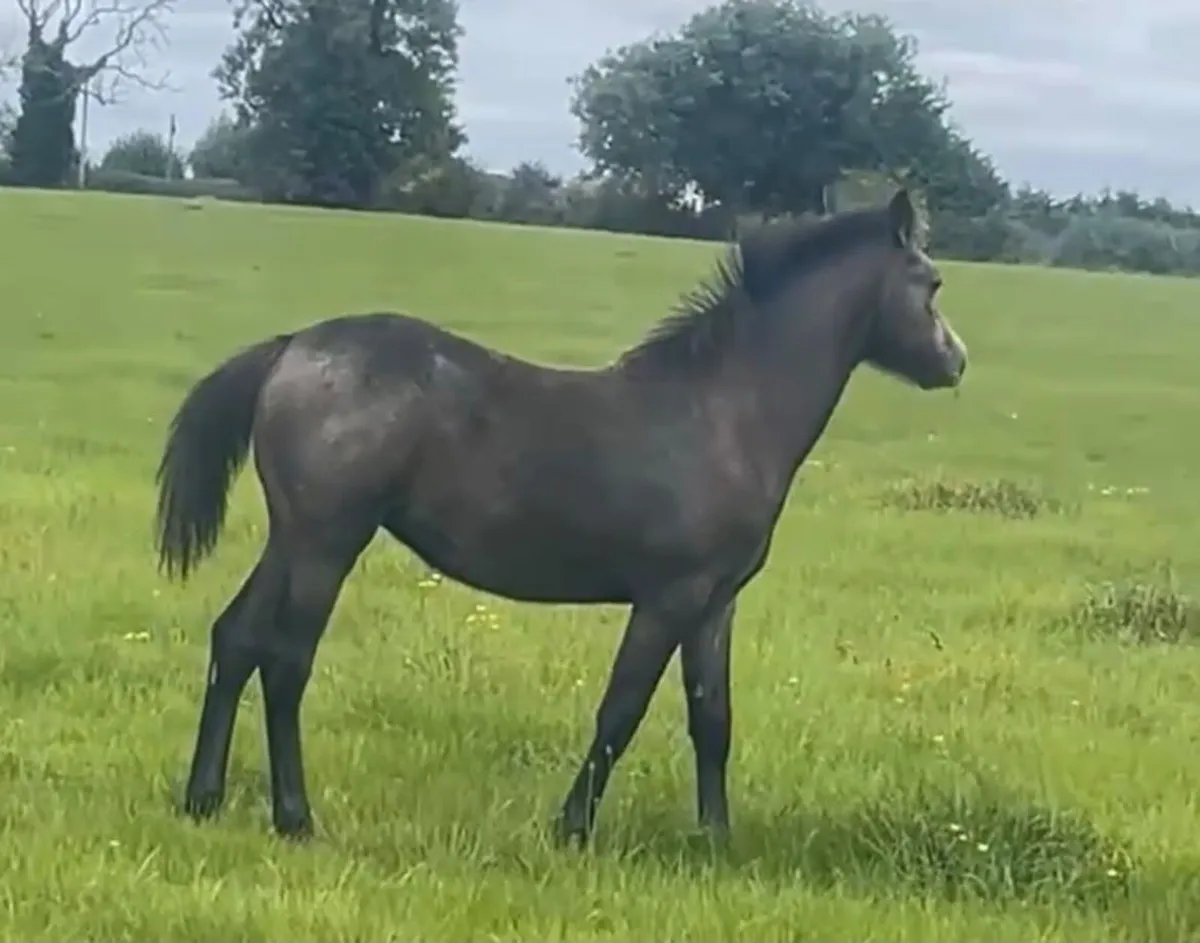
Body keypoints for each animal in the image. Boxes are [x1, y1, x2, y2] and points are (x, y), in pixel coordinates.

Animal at [154, 189, 967, 843]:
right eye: (930, 283)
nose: (955, 362)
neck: (724, 412)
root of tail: (291, 348)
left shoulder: (715, 603)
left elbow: (713, 719)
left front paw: (716, 839)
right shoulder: (667, 598)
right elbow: (621, 711)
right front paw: (571, 828)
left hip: (291, 538)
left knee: (237, 638)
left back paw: (203, 798)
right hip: (327, 542)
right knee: (286, 659)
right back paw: (295, 817)